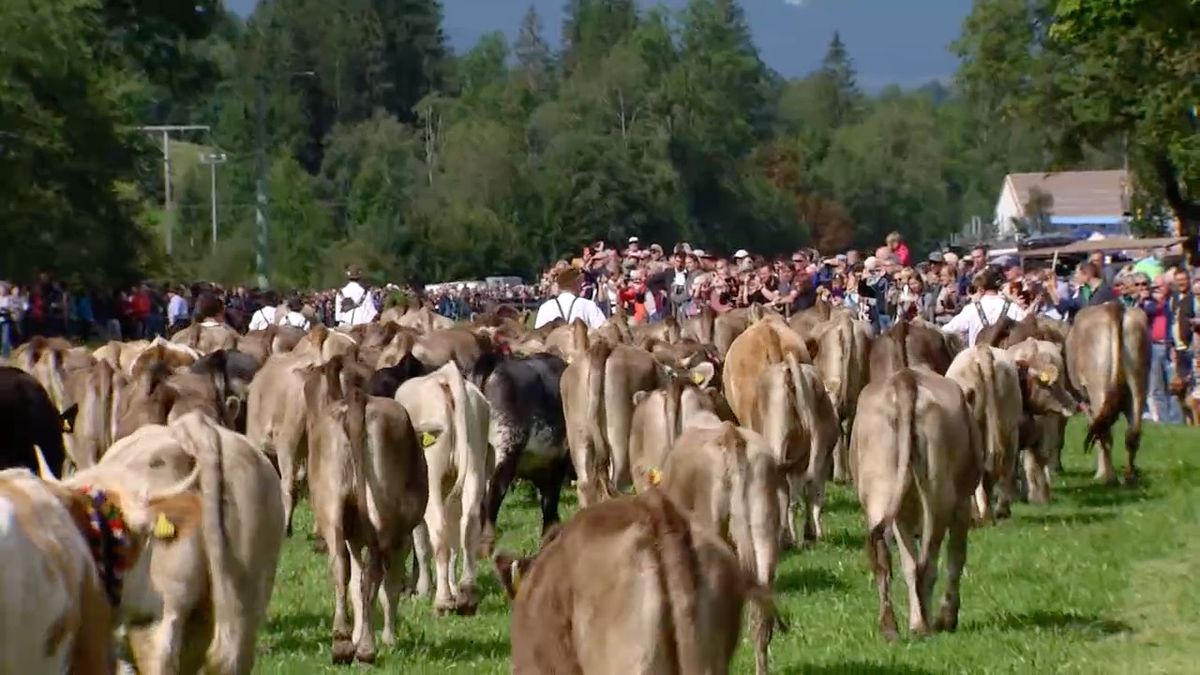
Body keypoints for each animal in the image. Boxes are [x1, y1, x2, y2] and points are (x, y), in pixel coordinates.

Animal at [1070, 302, 1152, 480]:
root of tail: (1114, 307)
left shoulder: (1085, 401)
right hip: (1138, 383)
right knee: (1132, 432)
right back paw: (1129, 476)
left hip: (1098, 388)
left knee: (1103, 431)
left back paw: (1107, 477)